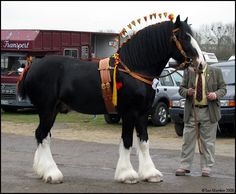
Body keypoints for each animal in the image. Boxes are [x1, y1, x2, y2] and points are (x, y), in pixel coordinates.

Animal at [17, 15, 205, 183]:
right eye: (183, 36)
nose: (201, 63)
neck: (133, 69)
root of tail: (32, 66)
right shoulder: (129, 112)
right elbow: (127, 141)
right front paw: (127, 175)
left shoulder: (143, 113)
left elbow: (144, 141)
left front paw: (150, 174)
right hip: (46, 109)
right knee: (42, 135)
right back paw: (51, 173)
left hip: (53, 110)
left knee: (43, 135)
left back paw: (42, 171)